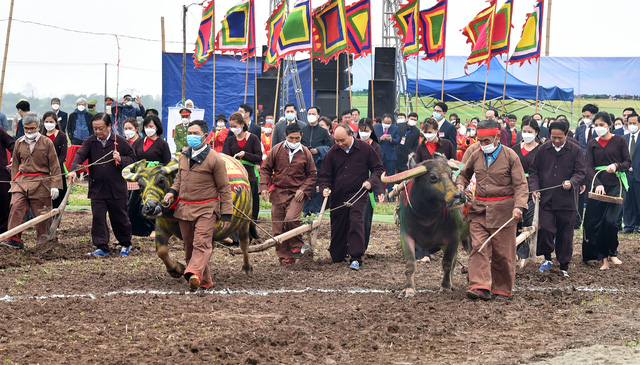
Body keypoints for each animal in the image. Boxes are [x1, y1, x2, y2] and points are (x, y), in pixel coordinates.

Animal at [124, 154, 254, 278]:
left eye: (161, 180)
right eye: (140, 185)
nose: (150, 207)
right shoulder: (162, 227)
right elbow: (161, 251)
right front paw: (176, 270)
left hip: (245, 222)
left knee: (244, 243)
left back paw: (247, 268)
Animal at [380, 156, 470, 296]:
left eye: (450, 174)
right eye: (433, 176)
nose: (459, 196)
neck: (427, 217)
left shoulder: (453, 238)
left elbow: (447, 263)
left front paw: (444, 287)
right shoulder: (405, 235)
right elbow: (410, 263)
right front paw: (408, 289)